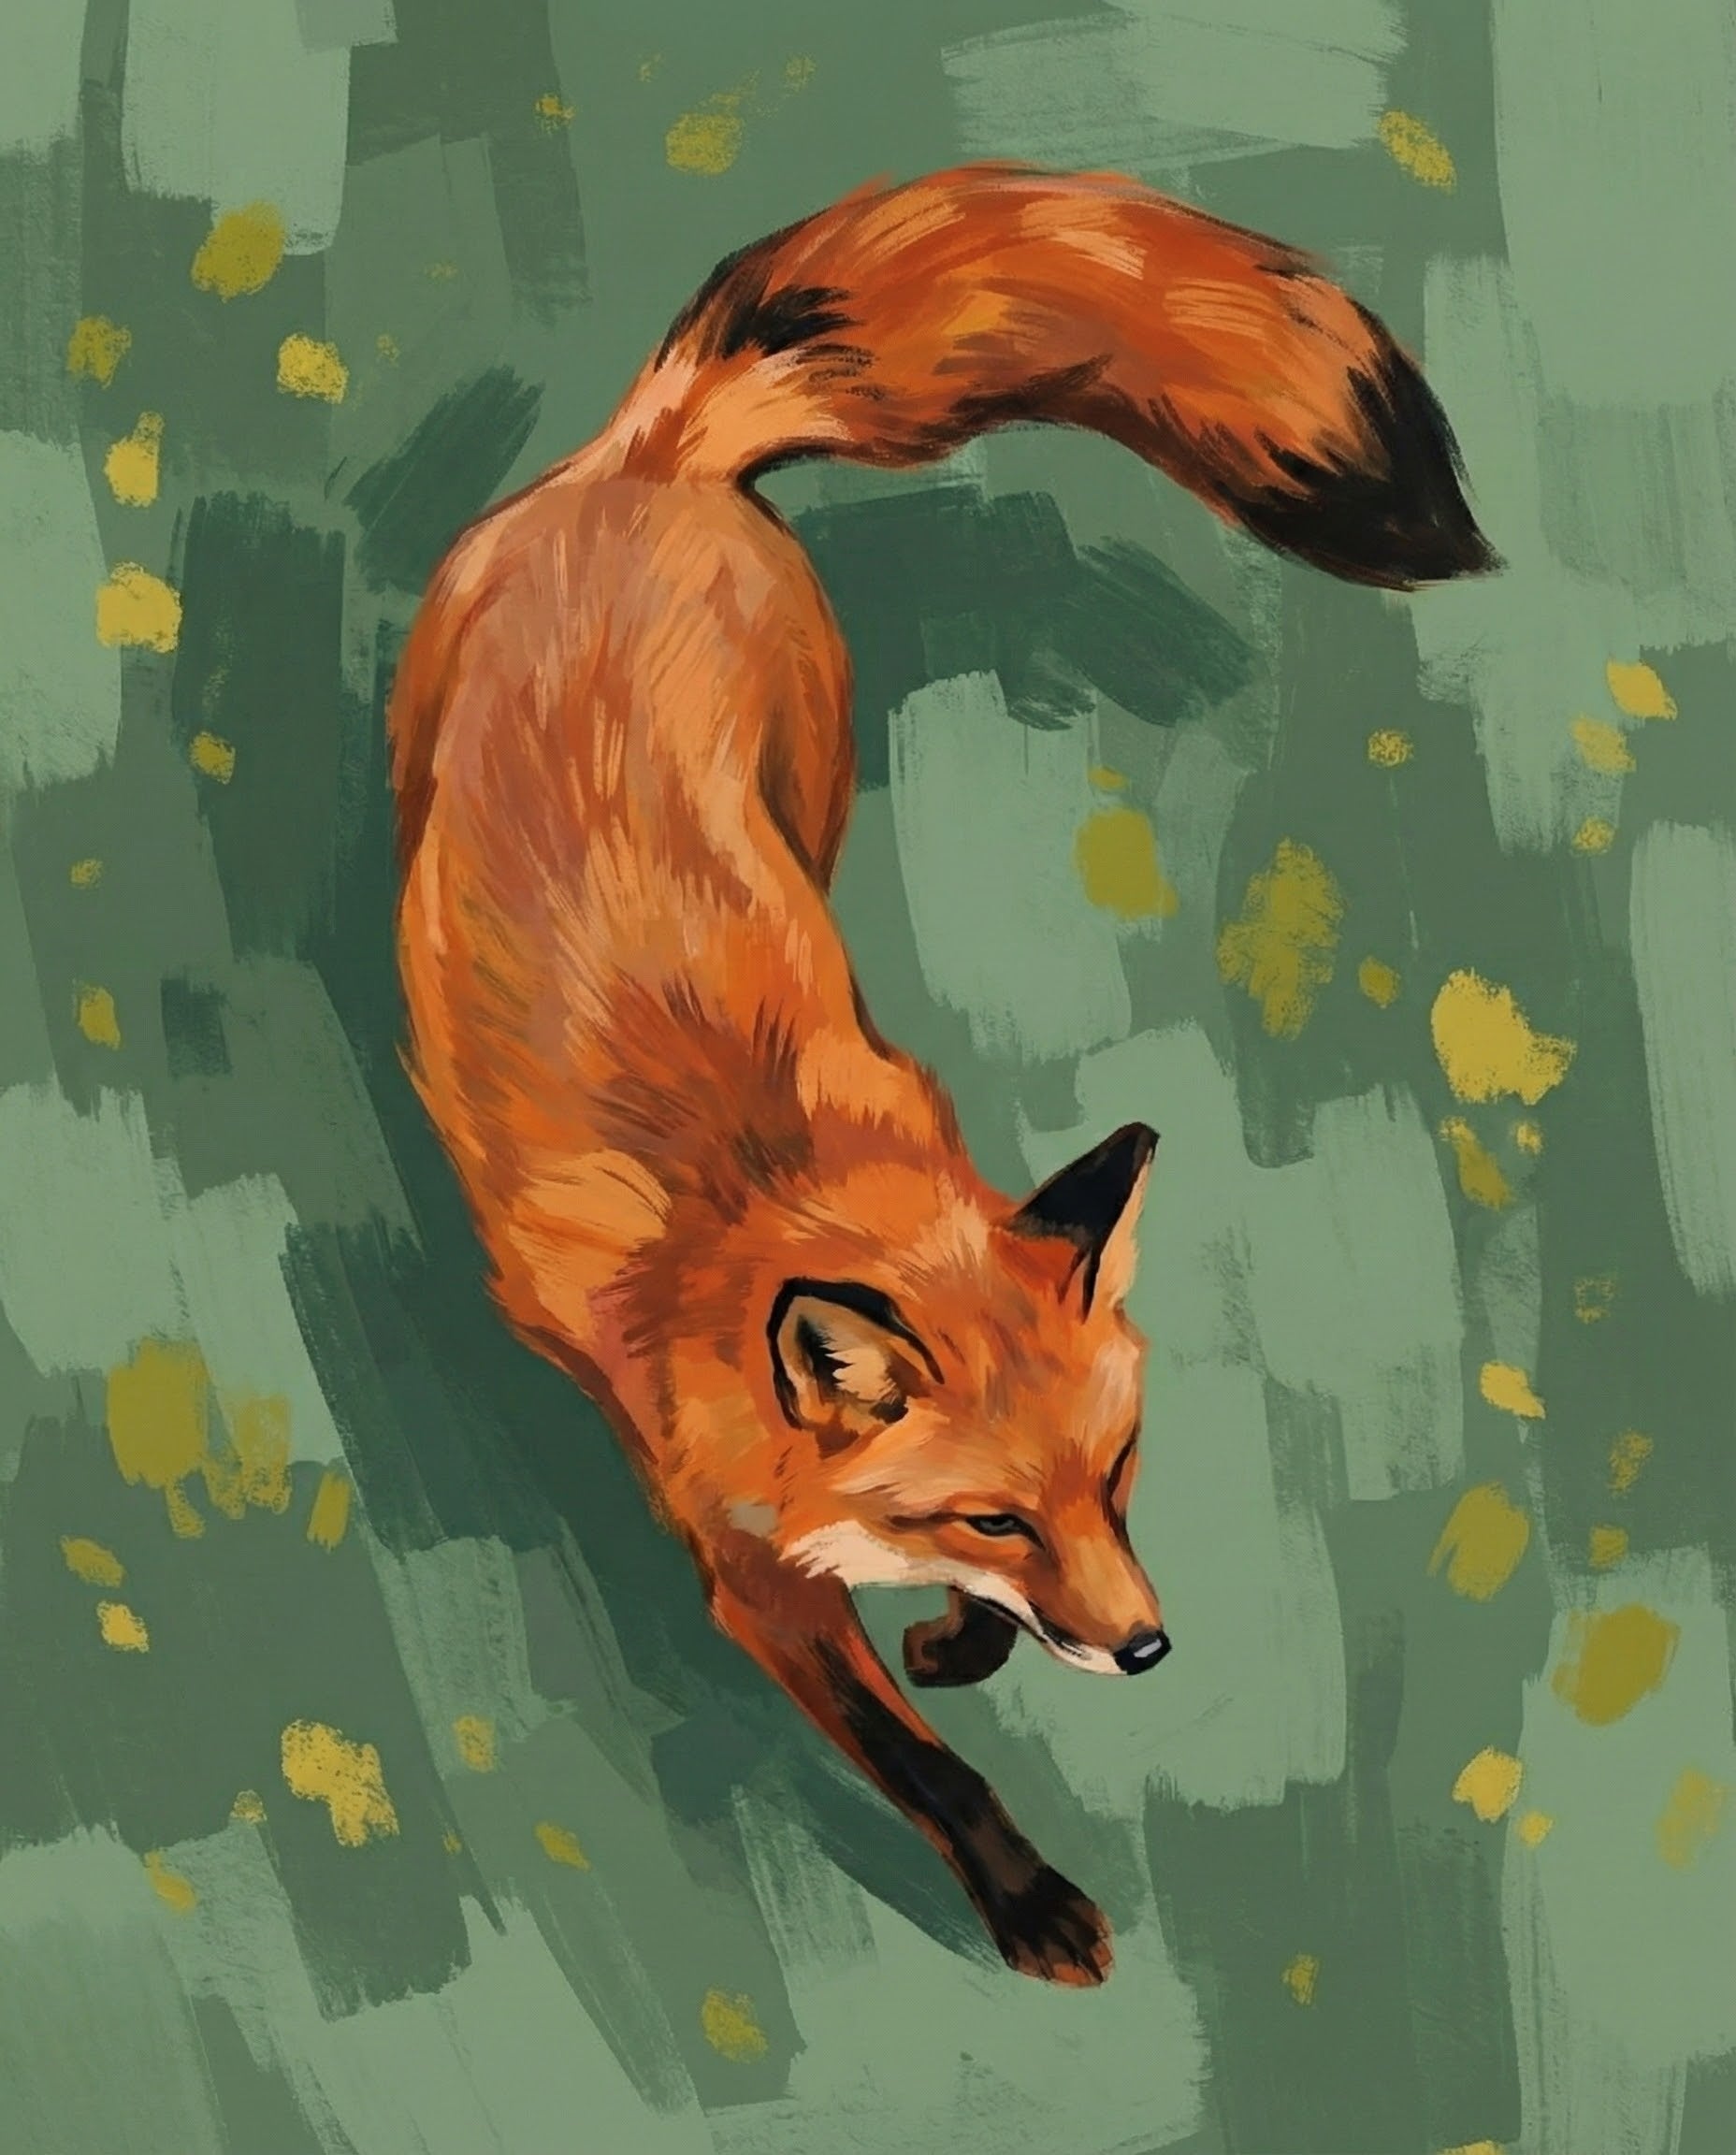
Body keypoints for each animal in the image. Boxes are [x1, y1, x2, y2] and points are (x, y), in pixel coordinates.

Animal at [387, 163, 1494, 1986]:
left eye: (1115, 1476)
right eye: (992, 1515)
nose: (1147, 1649)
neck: (773, 1200)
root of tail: (647, 461)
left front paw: (970, 1648)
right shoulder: (748, 1579)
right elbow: (922, 1764)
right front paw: (1023, 1886)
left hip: (815, 771)